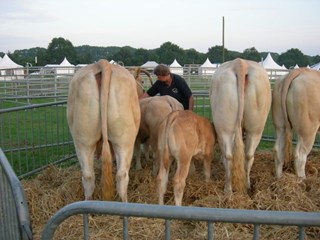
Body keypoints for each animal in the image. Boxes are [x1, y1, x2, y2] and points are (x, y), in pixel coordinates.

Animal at [209, 58, 272, 195]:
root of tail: (241, 63)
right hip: (256, 128)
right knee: (248, 155)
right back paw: (247, 187)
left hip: (224, 127)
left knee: (229, 156)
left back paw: (228, 190)